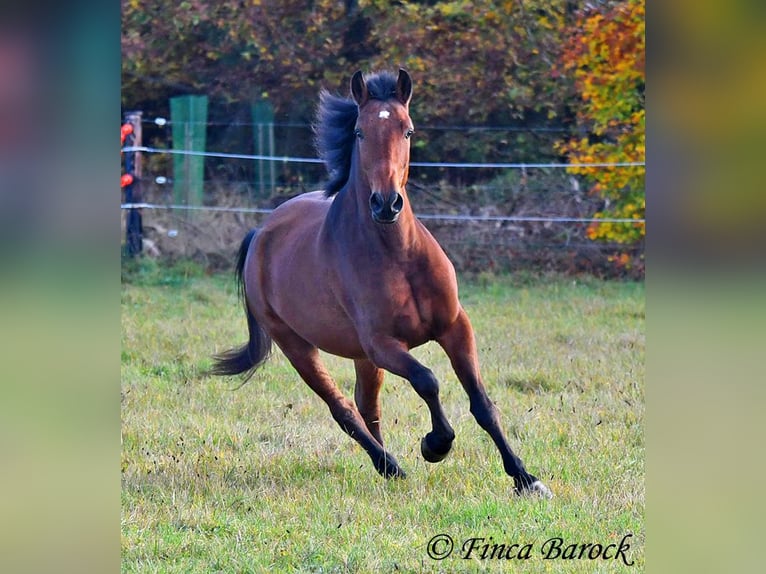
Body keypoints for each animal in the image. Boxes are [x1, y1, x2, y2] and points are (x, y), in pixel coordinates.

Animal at [213, 68, 556, 500]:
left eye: (407, 130)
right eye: (359, 132)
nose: (386, 203)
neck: (399, 256)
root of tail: (261, 232)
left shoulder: (454, 328)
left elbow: (482, 404)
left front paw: (525, 478)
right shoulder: (384, 344)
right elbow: (428, 380)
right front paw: (435, 444)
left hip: (361, 356)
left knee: (367, 407)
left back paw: (389, 465)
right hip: (298, 346)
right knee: (343, 409)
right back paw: (390, 465)